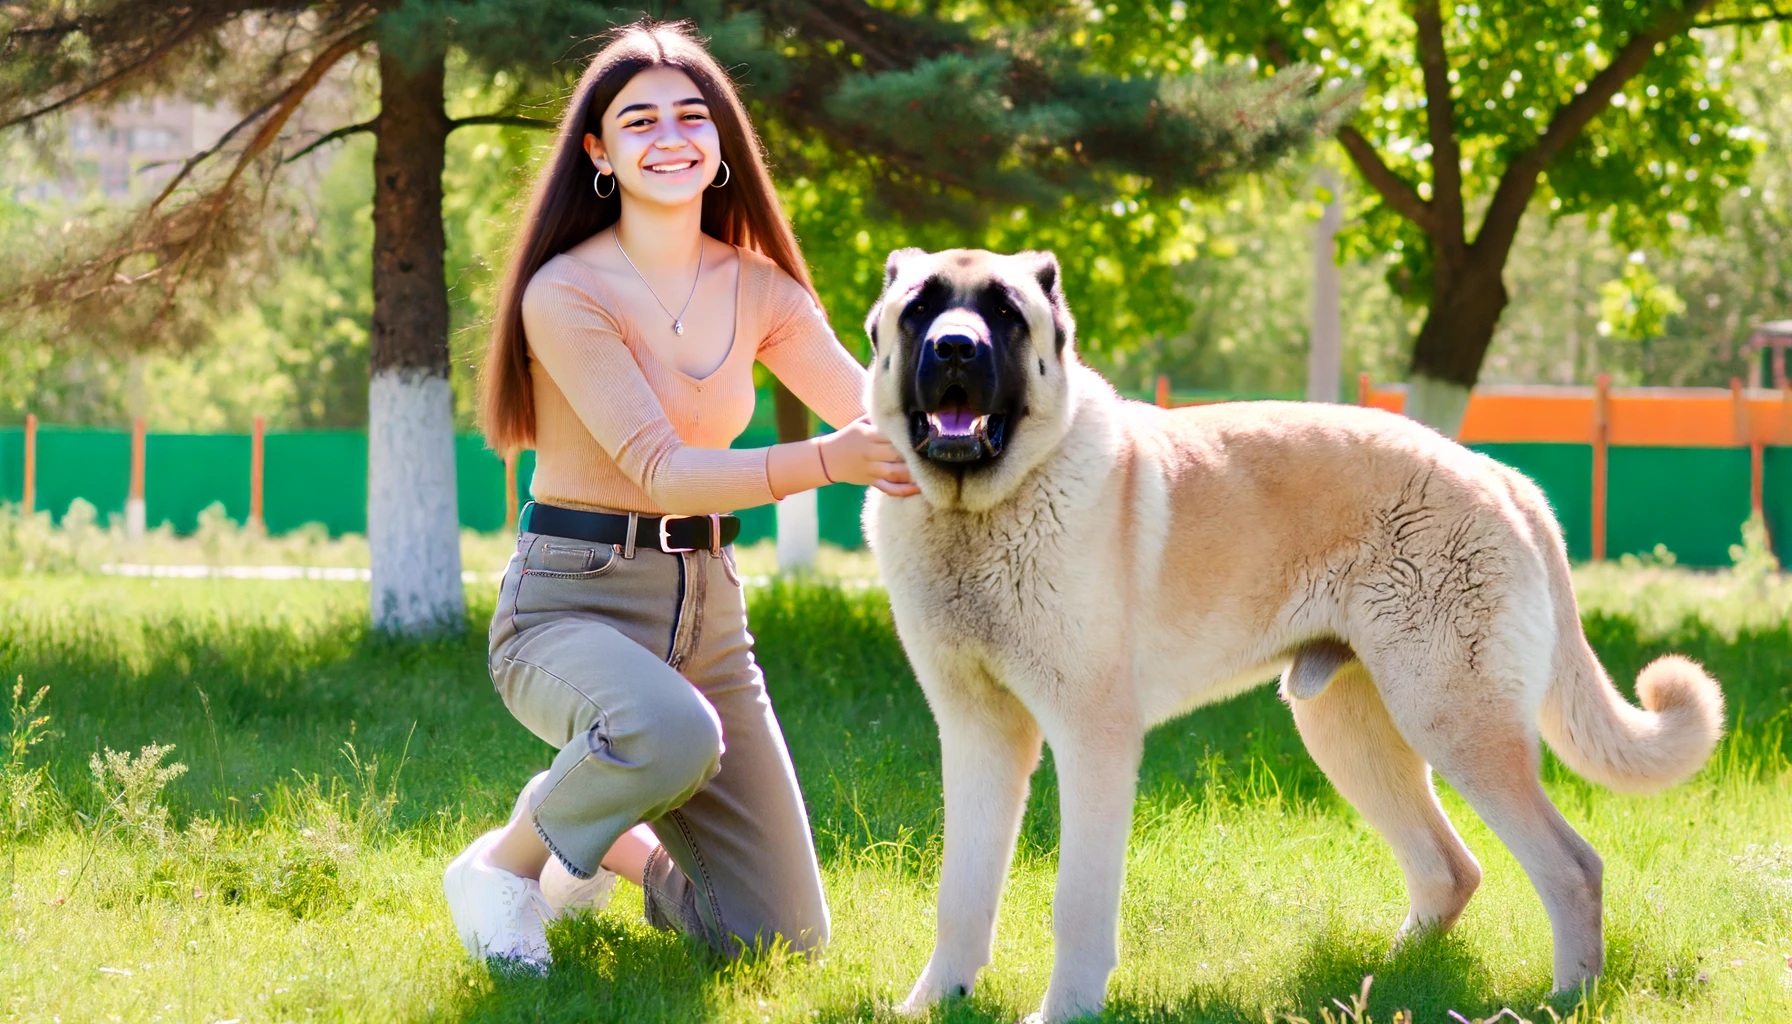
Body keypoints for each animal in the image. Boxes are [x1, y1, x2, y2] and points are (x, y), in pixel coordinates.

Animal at [860, 249, 1727, 1024]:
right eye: (920, 309)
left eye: (1005, 313)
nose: (955, 347)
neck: (979, 515)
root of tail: (1498, 475)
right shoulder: (979, 734)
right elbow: (962, 892)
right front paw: (934, 1003)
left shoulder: (1091, 739)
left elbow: (1077, 902)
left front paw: (1064, 1012)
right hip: (1351, 729)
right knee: (1451, 869)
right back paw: (1385, 983)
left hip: (1455, 721)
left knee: (1572, 867)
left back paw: (1563, 999)